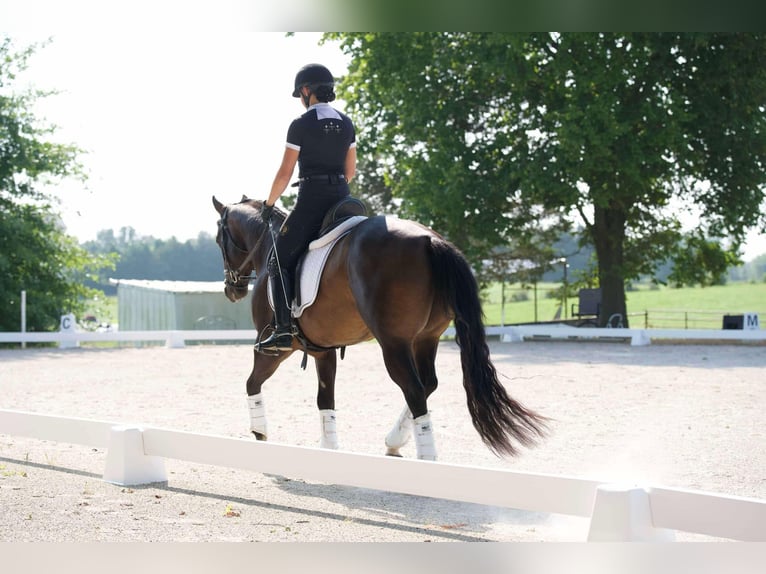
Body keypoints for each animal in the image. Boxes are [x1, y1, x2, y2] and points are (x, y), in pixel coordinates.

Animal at [212, 196, 544, 462]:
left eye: (218, 239)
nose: (231, 289)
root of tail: (429, 240)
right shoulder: (322, 350)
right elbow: (325, 400)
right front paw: (328, 447)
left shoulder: (274, 347)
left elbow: (252, 382)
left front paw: (259, 431)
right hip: (426, 339)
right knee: (427, 384)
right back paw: (394, 441)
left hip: (393, 343)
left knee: (414, 389)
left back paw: (426, 457)